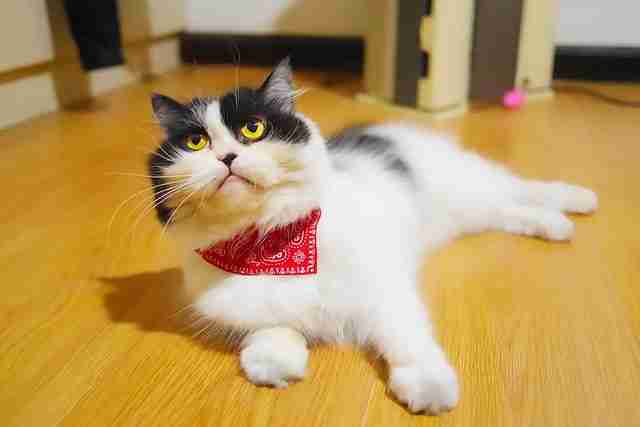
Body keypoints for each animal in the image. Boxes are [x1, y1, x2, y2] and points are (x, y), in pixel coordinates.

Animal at [148, 57, 596, 414]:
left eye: (254, 129)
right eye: (196, 142)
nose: (226, 157)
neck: (267, 241)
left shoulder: (385, 289)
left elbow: (406, 337)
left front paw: (429, 386)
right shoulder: (252, 306)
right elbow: (272, 326)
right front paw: (273, 362)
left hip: (473, 186)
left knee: (526, 189)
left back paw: (578, 201)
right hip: (470, 211)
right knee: (510, 211)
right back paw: (556, 224)